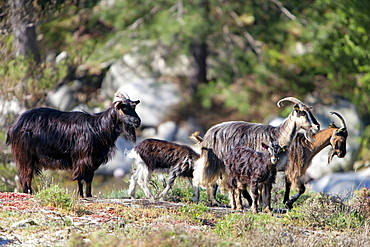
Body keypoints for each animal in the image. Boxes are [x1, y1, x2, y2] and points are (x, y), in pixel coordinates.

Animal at [6, 91, 141, 198]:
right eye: (124, 108)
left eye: (134, 108)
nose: (138, 121)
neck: (97, 128)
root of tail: (14, 126)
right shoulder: (81, 159)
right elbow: (80, 179)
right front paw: (80, 195)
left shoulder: (92, 161)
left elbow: (89, 179)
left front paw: (89, 195)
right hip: (24, 155)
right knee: (25, 176)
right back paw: (28, 193)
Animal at [192, 96, 320, 205]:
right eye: (303, 113)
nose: (317, 126)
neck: (277, 136)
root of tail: (207, 135)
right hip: (212, 161)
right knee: (199, 175)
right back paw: (200, 199)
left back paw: (215, 201)